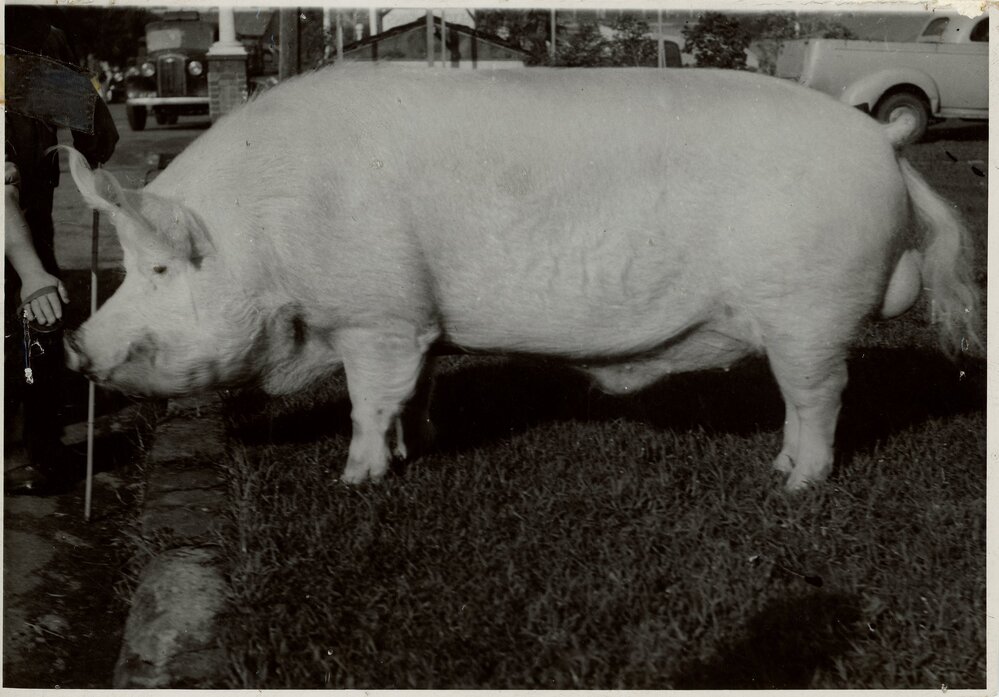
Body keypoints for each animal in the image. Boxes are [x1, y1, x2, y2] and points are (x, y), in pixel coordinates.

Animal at [63, 66, 980, 491]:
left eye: (157, 266)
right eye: (129, 268)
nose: (74, 342)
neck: (269, 233)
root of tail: (884, 145)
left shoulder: (376, 316)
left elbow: (369, 399)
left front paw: (356, 478)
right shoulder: (418, 322)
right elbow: (417, 389)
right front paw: (417, 450)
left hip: (810, 314)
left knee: (820, 397)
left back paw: (794, 485)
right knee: (802, 401)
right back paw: (778, 468)